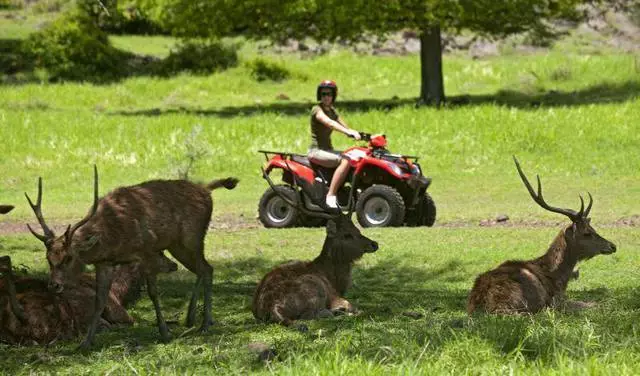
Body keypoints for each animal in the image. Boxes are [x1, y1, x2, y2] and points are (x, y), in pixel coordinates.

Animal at [23, 167, 240, 350]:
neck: (114, 238)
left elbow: (153, 293)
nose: (54, 285)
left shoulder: (148, 251)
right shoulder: (105, 263)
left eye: (68, 257)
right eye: (48, 258)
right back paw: (191, 318)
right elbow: (100, 300)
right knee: (203, 269)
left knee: (207, 268)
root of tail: (206, 190)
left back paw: (205, 324)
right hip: (177, 245)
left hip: (191, 238)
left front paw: (165, 332)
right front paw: (85, 343)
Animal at [252, 166, 378, 324]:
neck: (334, 280)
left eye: (357, 229)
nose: (374, 244)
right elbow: (352, 306)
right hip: (314, 286)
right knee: (313, 315)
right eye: (347, 235)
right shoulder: (334, 295)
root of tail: (273, 308)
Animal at [468, 157, 616, 316]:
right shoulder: (558, 299)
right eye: (587, 233)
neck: (558, 278)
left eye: (593, 228)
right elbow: (594, 304)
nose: (612, 246)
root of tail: (483, 305)